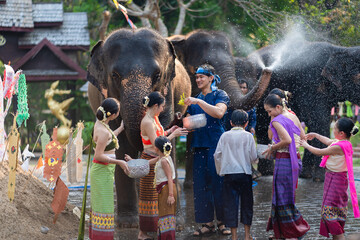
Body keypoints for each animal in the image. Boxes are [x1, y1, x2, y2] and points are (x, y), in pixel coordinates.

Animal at [86, 27, 191, 227]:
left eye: (157, 75)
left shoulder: (168, 90)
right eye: (115, 75)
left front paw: (176, 222)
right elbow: (121, 142)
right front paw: (129, 223)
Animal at [233, 40, 360, 180]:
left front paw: (307, 175)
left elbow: (316, 122)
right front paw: (318, 177)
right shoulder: (310, 84)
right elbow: (318, 120)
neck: (341, 49)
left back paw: (267, 171)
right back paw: (261, 173)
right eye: (359, 77)